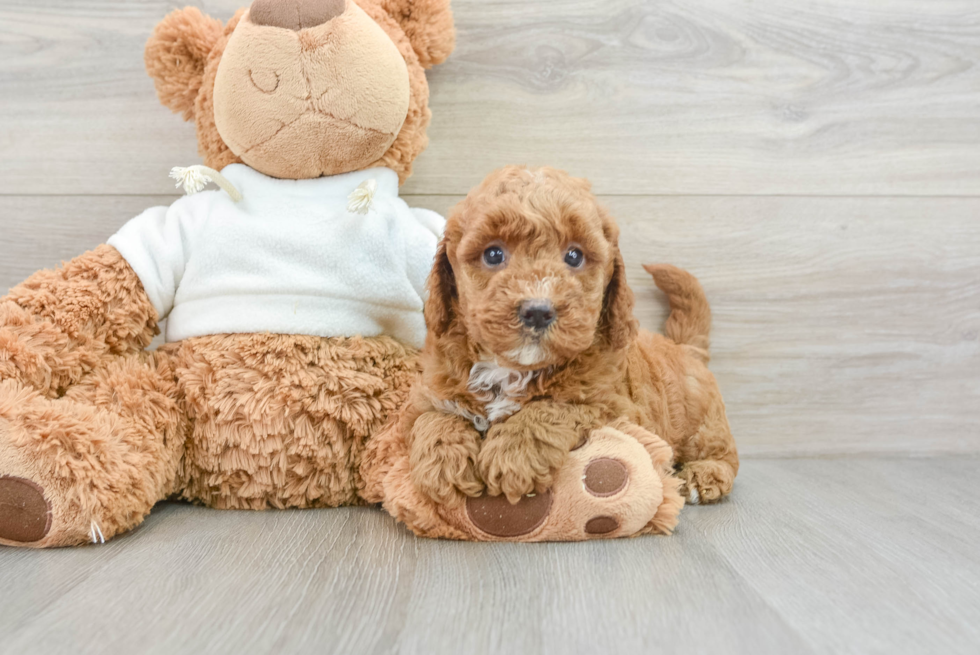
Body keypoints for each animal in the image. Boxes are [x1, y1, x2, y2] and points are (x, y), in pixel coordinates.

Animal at [404, 167, 736, 504]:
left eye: (574, 256)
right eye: (494, 254)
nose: (538, 311)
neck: (512, 368)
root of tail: (685, 348)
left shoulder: (615, 406)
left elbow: (556, 407)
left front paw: (513, 453)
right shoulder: (432, 386)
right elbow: (433, 414)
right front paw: (443, 462)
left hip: (703, 423)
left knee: (723, 453)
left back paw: (702, 475)